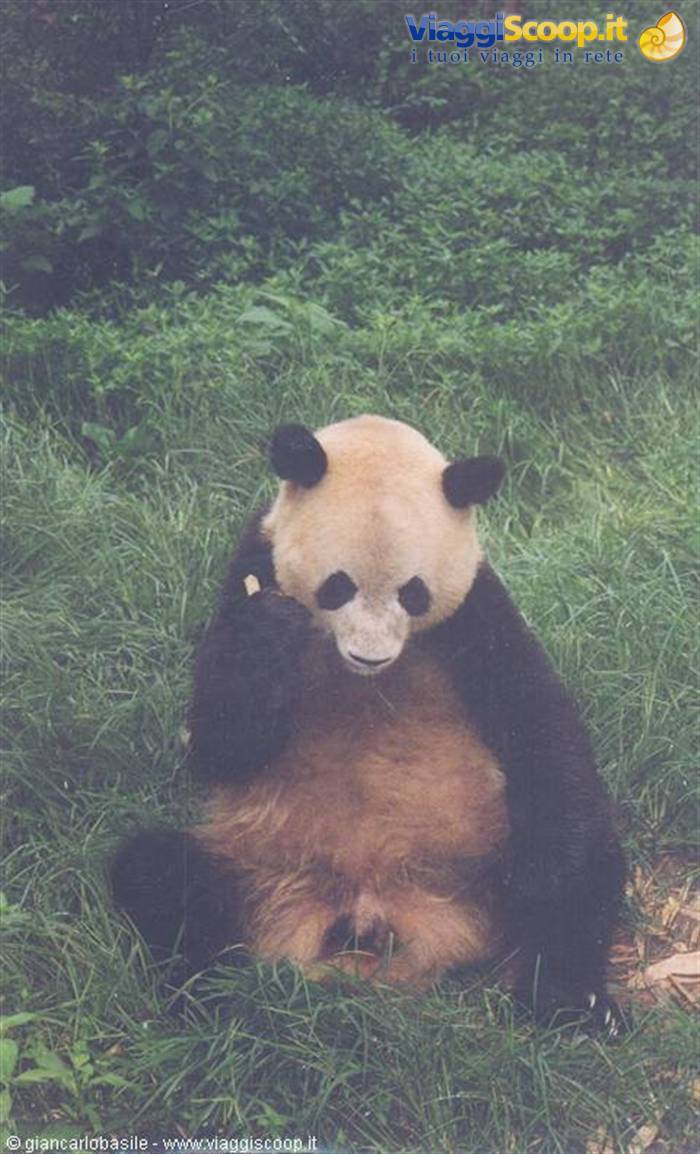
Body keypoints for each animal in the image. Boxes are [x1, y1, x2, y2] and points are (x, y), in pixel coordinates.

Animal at [112, 415, 626, 1031]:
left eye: (414, 592)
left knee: (586, 875)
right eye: (339, 585)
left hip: (473, 862)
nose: (371, 656)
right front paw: (267, 636)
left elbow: (538, 725)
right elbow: (220, 743)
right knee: (161, 875)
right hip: (254, 865)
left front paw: (539, 882)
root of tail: (371, 920)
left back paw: (569, 1001)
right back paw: (208, 997)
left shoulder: (476, 612)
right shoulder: (250, 567)